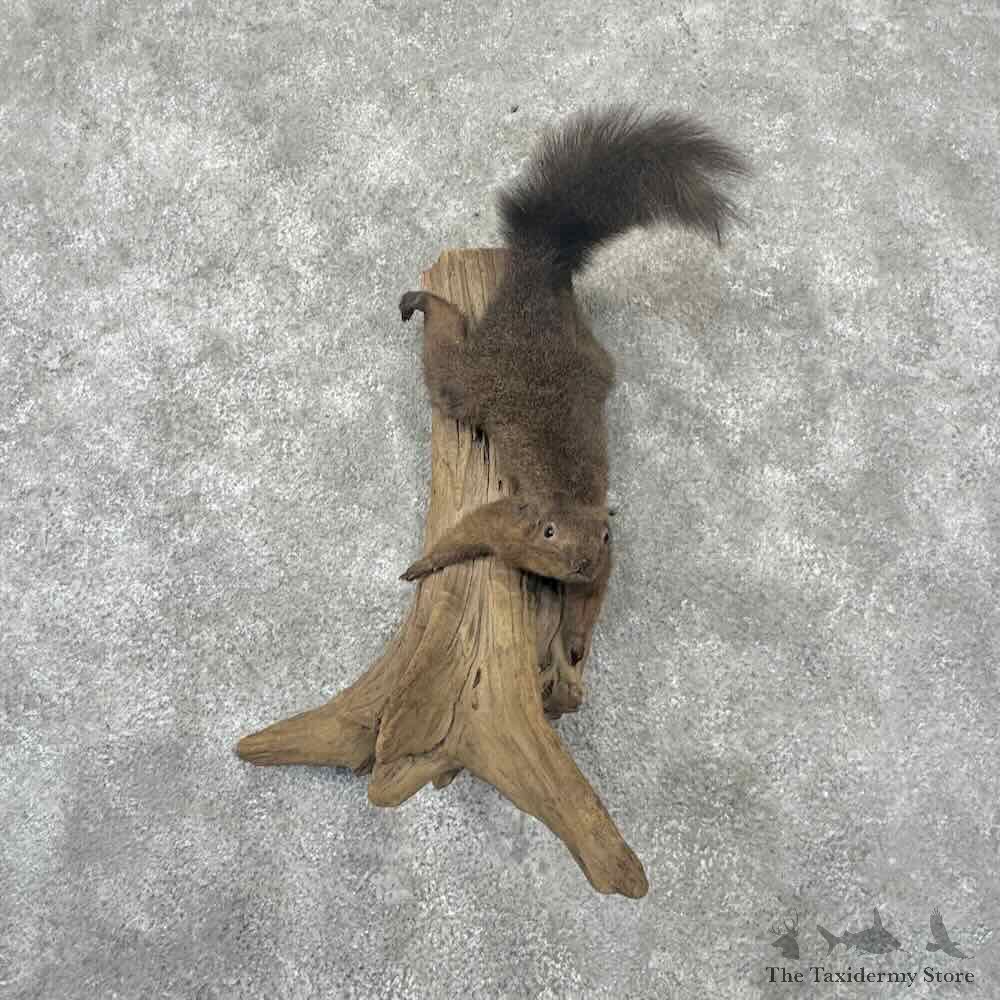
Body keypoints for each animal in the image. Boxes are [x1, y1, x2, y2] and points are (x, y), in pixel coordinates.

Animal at [398, 106, 748, 618]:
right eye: (549, 533)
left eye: (605, 538)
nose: (582, 563)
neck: (570, 499)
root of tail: (540, 269)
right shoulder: (505, 519)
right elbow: (465, 531)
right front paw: (424, 564)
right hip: (473, 379)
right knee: (445, 359)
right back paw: (422, 302)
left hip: (590, 353)